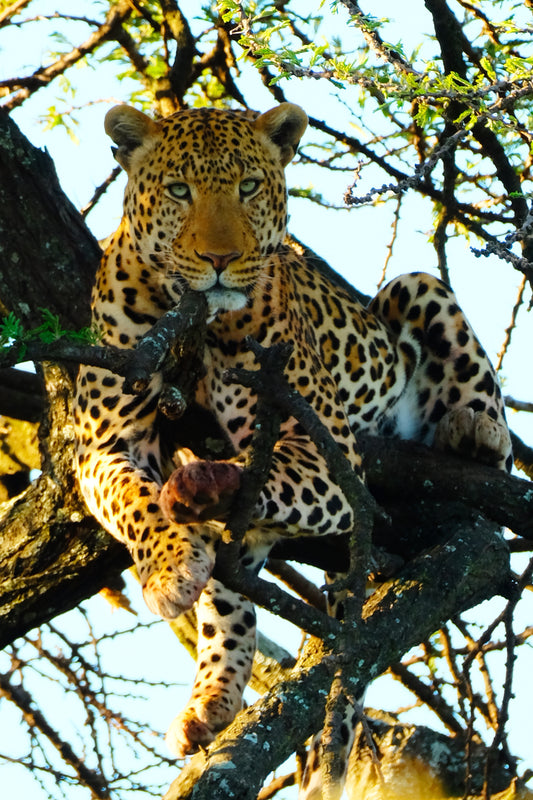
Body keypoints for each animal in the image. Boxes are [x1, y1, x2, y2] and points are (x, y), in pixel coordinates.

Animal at [74, 103, 512, 796]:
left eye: (250, 187)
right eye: (179, 190)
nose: (220, 258)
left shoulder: (322, 447)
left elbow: (268, 470)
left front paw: (207, 485)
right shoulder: (103, 441)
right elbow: (132, 501)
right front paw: (169, 567)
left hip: (411, 292)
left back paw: (477, 430)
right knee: (229, 602)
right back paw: (211, 700)